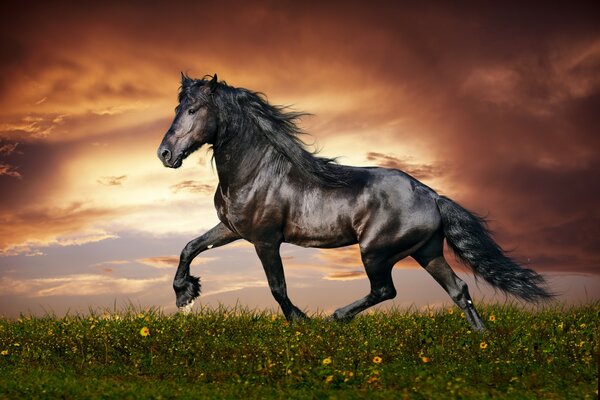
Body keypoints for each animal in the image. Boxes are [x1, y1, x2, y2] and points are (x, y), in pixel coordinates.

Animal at [157, 73, 552, 330]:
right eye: (178, 108)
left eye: (193, 110)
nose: (164, 154)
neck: (256, 171)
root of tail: (432, 196)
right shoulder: (232, 229)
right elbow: (190, 247)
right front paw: (185, 294)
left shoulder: (265, 240)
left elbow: (277, 287)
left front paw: (301, 322)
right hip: (426, 252)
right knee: (459, 290)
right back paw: (481, 340)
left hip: (376, 252)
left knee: (385, 290)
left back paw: (336, 317)